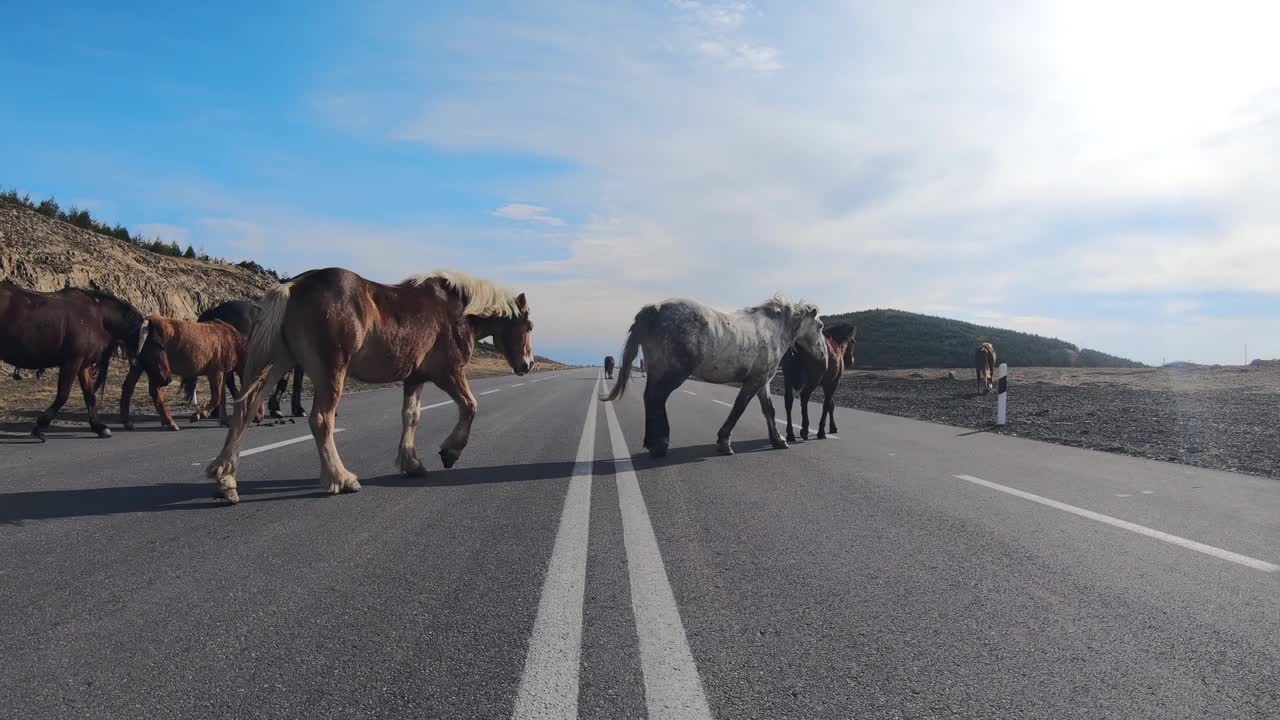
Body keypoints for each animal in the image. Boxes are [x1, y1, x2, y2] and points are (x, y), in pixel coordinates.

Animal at [0, 279, 145, 438]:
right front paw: (40, 425)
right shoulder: (72, 362)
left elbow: (89, 395)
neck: (97, 318)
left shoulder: (84, 365)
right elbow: (63, 395)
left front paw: (98, 426)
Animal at [120, 312, 252, 425]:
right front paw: (199, 415)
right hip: (157, 368)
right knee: (155, 391)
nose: (255, 418)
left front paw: (224, 420)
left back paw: (128, 421)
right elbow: (217, 397)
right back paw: (169, 422)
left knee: (128, 387)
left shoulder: (223, 373)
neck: (231, 340)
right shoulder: (216, 372)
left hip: (141, 366)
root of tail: (148, 322)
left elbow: (222, 398)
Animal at [206, 266, 535, 502]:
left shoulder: (414, 378)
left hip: (276, 363)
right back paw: (341, 478)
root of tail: (294, 285)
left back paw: (226, 480)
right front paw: (450, 452)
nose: (528, 364)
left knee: (246, 409)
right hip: (330, 371)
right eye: (529, 325)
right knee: (321, 419)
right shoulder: (449, 373)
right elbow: (470, 406)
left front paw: (411, 462)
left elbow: (411, 417)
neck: (458, 311)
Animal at [604, 294, 824, 456]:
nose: (823, 354)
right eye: (821, 326)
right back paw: (659, 444)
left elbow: (768, 410)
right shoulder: (755, 381)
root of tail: (654, 309)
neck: (772, 329)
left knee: (650, 398)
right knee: (656, 398)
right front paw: (724, 442)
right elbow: (739, 408)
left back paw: (654, 443)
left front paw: (778, 440)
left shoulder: (762, 381)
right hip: (673, 373)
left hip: (657, 370)